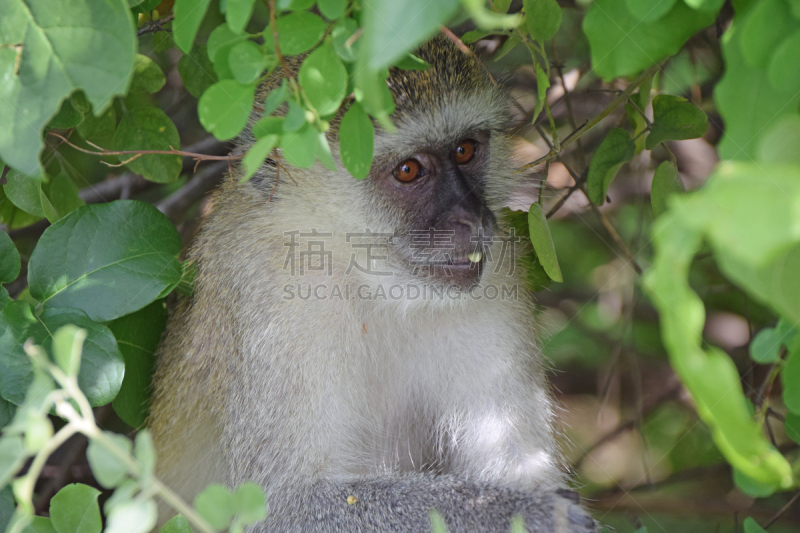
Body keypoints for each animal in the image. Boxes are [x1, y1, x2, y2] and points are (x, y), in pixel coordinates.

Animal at [150, 35, 596, 528]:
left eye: (465, 150)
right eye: (408, 170)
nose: (474, 220)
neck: (371, 284)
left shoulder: (498, 279)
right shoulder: (272, 295)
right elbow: (284, 506)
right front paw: (528, 514)